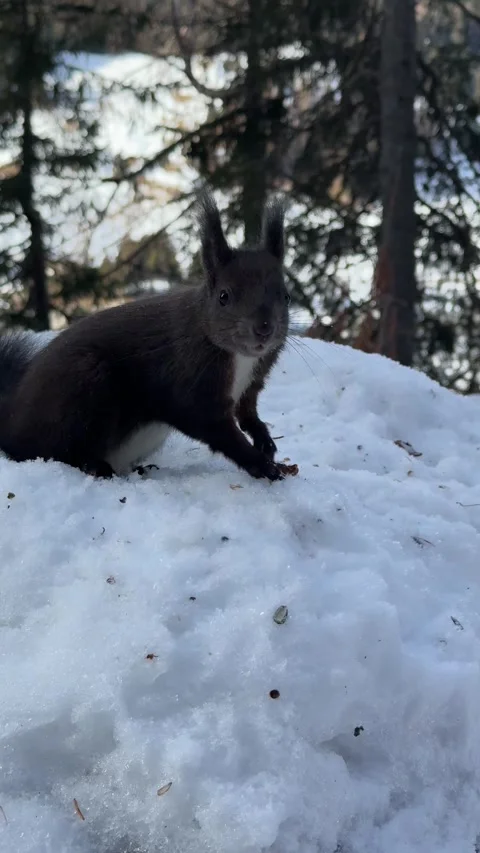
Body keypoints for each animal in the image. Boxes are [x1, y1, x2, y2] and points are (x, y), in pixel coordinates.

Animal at [0, 190, 290, 481]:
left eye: (286, 296)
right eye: (224, 296)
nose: (264, 328)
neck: (240, 358)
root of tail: (12, 423)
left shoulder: (250, 385)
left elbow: (248, 412)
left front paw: (265, 441)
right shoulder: (189, 387)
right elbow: (215, 429)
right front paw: (261, 465)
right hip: (82, 389)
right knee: (62, 451)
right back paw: (97, 467)